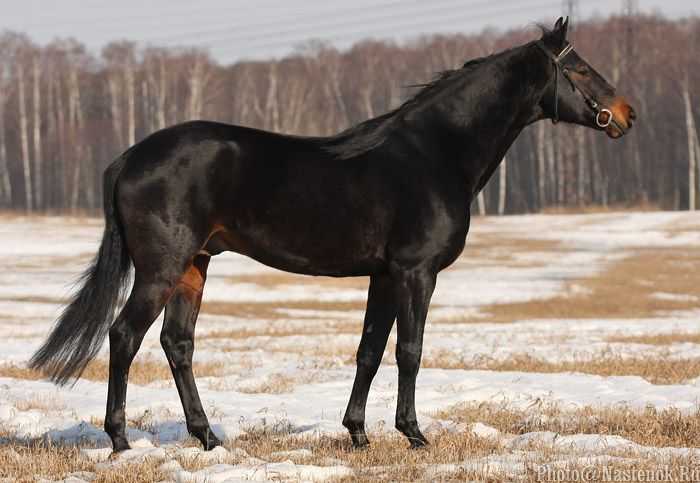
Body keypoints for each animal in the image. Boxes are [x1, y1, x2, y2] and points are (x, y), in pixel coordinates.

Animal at [31, 17, 636, 452]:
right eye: (581, 69)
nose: (627, 114)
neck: (433, 153)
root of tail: (131, 157)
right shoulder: (415, 272)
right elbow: (410, 350)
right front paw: (414, 434)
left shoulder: (384, 275)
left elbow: (370, 349)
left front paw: (359, 433)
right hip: (160, 269)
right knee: (124, 336)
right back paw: (119, 441)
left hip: (193, 267)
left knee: (177, 344)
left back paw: (208, 437)